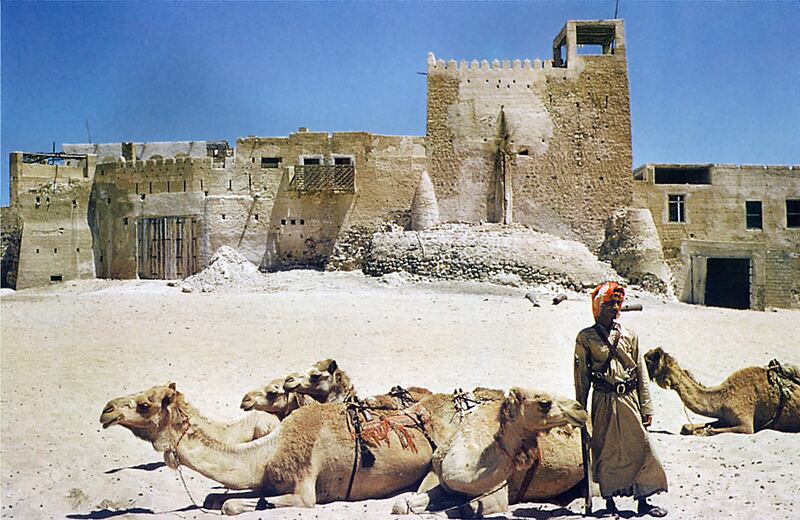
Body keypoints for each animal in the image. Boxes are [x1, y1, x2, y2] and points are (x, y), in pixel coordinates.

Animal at [394, 388, 588, 512]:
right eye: (544, 403)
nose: (579, 409)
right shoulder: (444, 483)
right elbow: (403, 505)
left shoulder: (497, 494)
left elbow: (465, 509)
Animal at [644, 350, 800, 434]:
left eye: (650, 360)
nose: (647, 353)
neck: (723, 397)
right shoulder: (723, 417)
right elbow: (687, 426)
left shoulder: (746, 425)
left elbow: (711, 430)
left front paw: (702, 432)